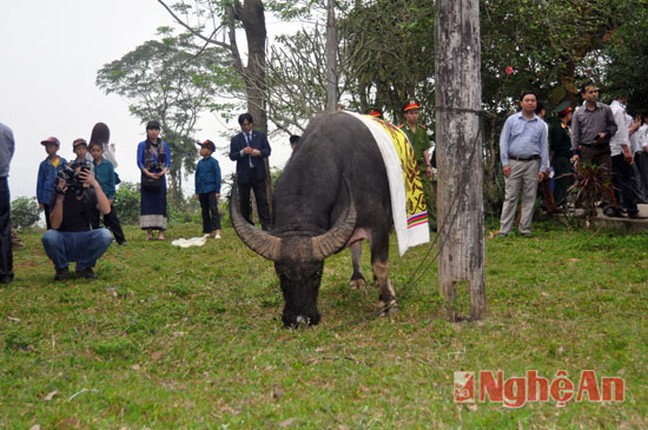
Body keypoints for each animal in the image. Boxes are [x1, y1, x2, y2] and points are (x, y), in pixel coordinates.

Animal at [230, 110, 398, 326]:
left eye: (316, 273)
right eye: (282, 275)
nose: (300, 319)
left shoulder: (378, 223)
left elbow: (380, 264)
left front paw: (388, 303)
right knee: (356, 245)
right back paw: (357, 278)